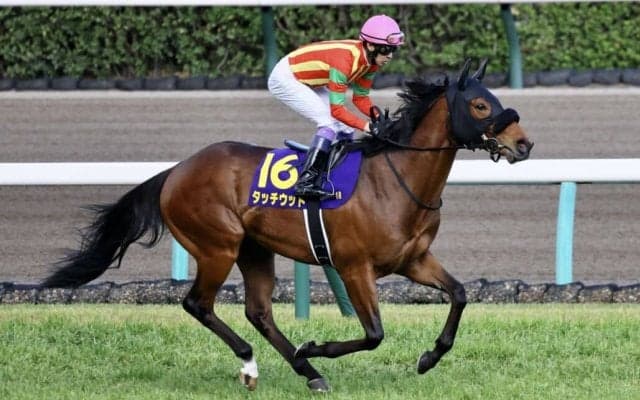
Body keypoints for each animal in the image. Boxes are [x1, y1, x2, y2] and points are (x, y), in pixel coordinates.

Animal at [42, 59, 533, 392]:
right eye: (480, 104)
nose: (524, 144)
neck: (396, 178)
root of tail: (175, 171)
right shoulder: (354, 267)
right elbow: (373, 334)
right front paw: (314, 346)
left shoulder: (413, 259)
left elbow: (460, 294)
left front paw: (429, 357)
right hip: (218, 246)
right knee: (198, 304)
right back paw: (253, 364)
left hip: (255, 249)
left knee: (258, 311)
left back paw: (308, 373)